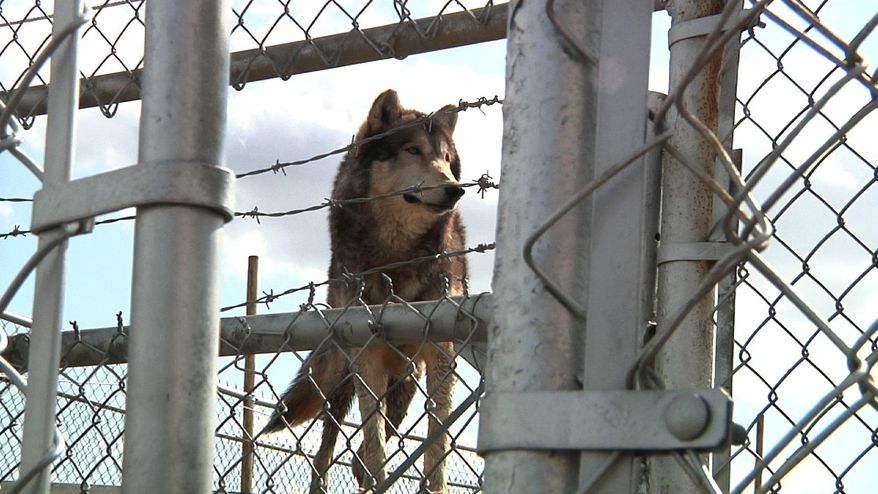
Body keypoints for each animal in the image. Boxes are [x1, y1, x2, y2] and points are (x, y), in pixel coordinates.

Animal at [263, 89, 467, 493]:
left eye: (447, 159)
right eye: (413, 150)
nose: (456, 189)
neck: (395, 258)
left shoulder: (440, 345)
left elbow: (436, 434)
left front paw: (433, 484)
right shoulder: (366, 349)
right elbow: (372, 436)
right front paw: (375, 472)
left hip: (407, 373)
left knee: (388, 423)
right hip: (343, 371)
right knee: (329, 438)